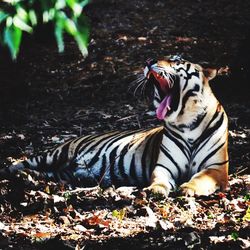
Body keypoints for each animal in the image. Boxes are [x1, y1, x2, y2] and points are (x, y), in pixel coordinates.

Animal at [0, 56, 229, 197]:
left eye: (177, 60)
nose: (148, 61)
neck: (186, 122)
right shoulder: (163, 166)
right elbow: (159, 179)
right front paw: (155, 190)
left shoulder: (216, 168)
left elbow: (200, 177)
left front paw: (188, 187)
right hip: (55, 154)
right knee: (19, 164)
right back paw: (16, 174)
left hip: (61, 173)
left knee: (43, 173)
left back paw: (28, 178)